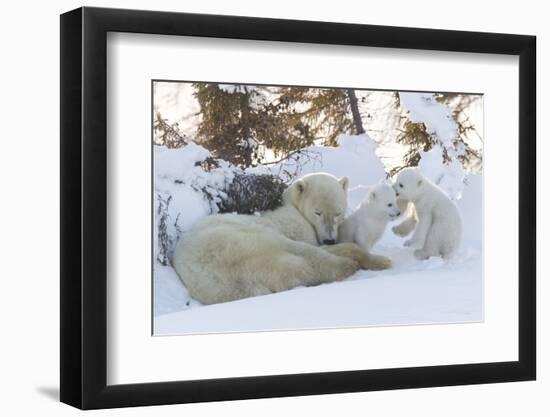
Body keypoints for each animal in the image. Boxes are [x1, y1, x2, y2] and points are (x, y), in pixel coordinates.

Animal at [172, 171, 392, 304]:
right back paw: (361, 263)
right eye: (318, 212)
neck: (292, 207)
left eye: (338, 212)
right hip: (247, 239)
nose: (329, 239)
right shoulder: (295, 226)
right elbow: (314, 245)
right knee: (309, 256)